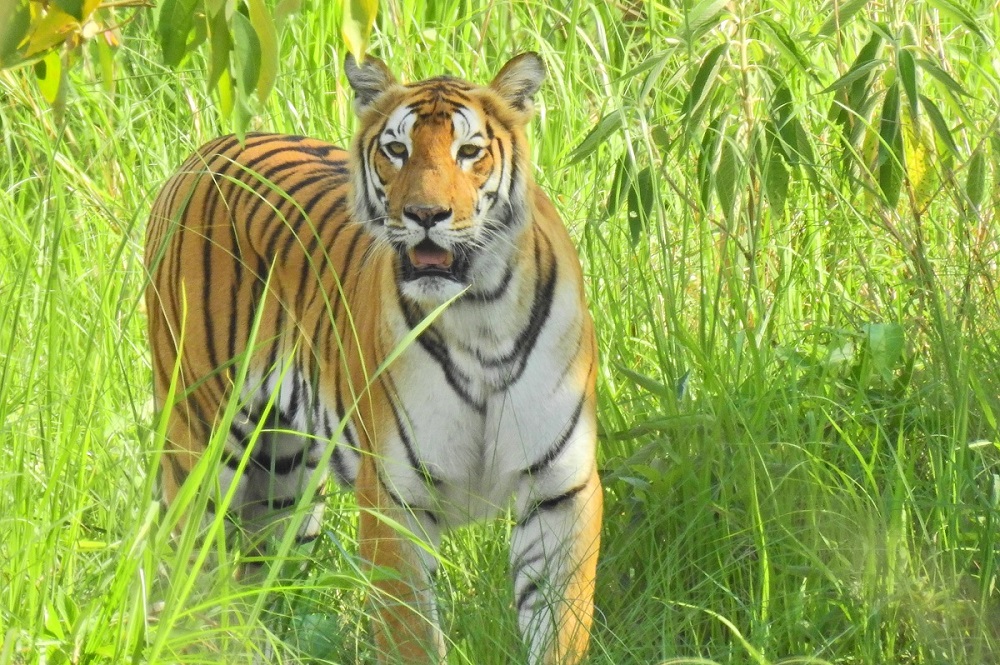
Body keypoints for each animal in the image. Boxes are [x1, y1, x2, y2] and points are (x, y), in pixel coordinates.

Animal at [145, 53, 600, 664]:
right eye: (397, 150)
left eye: (469, 151)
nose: (426, 213)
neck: (480, 314)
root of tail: (201, 154)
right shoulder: (394, 499)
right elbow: (410, 634)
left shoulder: (560, 491)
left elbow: (558, 627)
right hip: (199, 448)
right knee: (194, 581)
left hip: (284, 484)